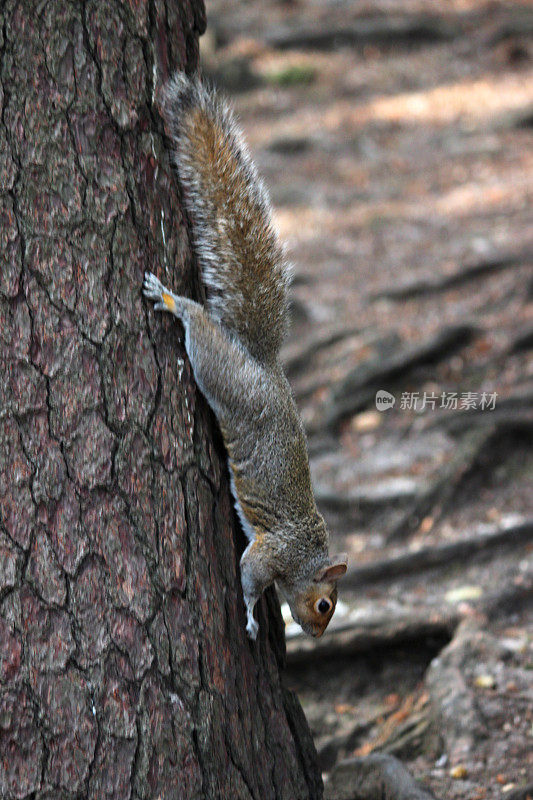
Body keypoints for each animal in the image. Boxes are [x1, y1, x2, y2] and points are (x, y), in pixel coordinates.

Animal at [143, 73, 348, 636]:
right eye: (325, 605)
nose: (316, 636)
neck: (306, 555)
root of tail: (265, 366)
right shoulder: (273, 552)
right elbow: (251, 575)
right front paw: (254, 616)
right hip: (224, 376)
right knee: (201, 334)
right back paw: (174, 301)